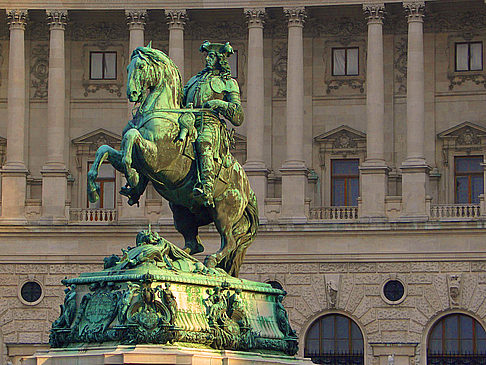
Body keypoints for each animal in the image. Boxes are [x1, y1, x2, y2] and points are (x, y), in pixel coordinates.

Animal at [87, 44, 258, 276]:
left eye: (141, 66)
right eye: (128, 67)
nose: (132, 93)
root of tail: (247, 188)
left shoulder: (157, 157)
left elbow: (131, 138)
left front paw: (131, 176)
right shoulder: (132, 156)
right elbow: (104, 149)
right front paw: (96, 189)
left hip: (224, 210)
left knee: (228, 241)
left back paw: (208, 261)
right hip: (180, 209)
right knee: (194, 245)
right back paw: (173, 255)